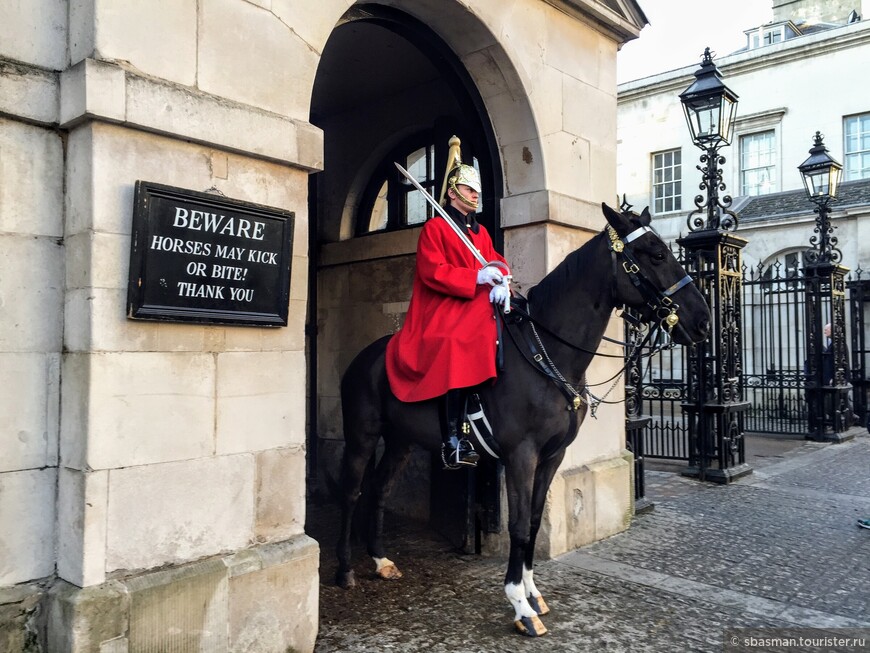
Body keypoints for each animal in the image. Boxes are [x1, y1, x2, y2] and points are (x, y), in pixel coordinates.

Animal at [334, 201, 708, 636]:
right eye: (656, 254)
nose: (702, 320)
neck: (547, 353)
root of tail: (366, 356)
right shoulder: (521, 455)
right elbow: (516, 524)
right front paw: (519, 604)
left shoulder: (552, 457)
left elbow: (532, 519)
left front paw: (532, 592)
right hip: (362, 435)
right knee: (352, 492)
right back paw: (345, 570)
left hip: (401, 440)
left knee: (378, 489)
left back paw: (380, 560)